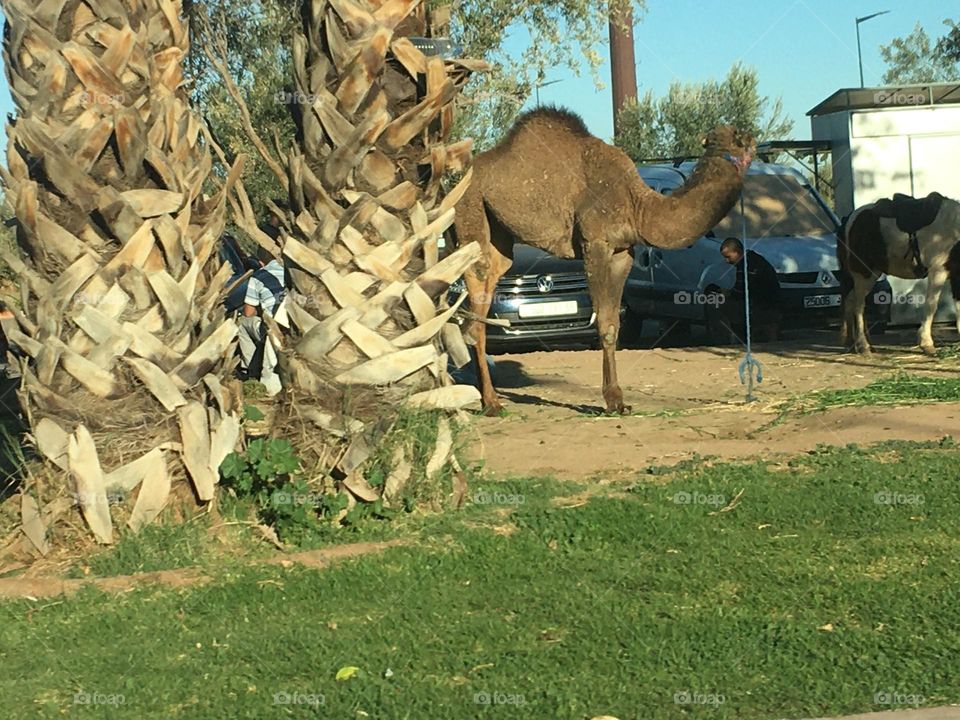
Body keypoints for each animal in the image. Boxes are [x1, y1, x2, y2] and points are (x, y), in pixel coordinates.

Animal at [452, 108, 755, 415]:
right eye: (736, 141)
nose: (749, 139)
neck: (639, 206)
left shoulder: (623, 252)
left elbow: (613, 323)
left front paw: (618, 400)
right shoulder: (594, 243)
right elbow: (604, 324)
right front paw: (611, 401)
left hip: (498, 240)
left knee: (484, 292)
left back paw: (484, 397)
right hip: (470, 210)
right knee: (474, 305)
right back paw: (490, 403)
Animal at [838, 192, 960, 355]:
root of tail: (849, 219)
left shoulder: (956, 275)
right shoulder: (938, 271)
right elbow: (931, 305)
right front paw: (926, 343)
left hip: (869, 274)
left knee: (850, 301)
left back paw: (853, 344)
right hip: (863, 274)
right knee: (858, 305)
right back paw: (863, 346)